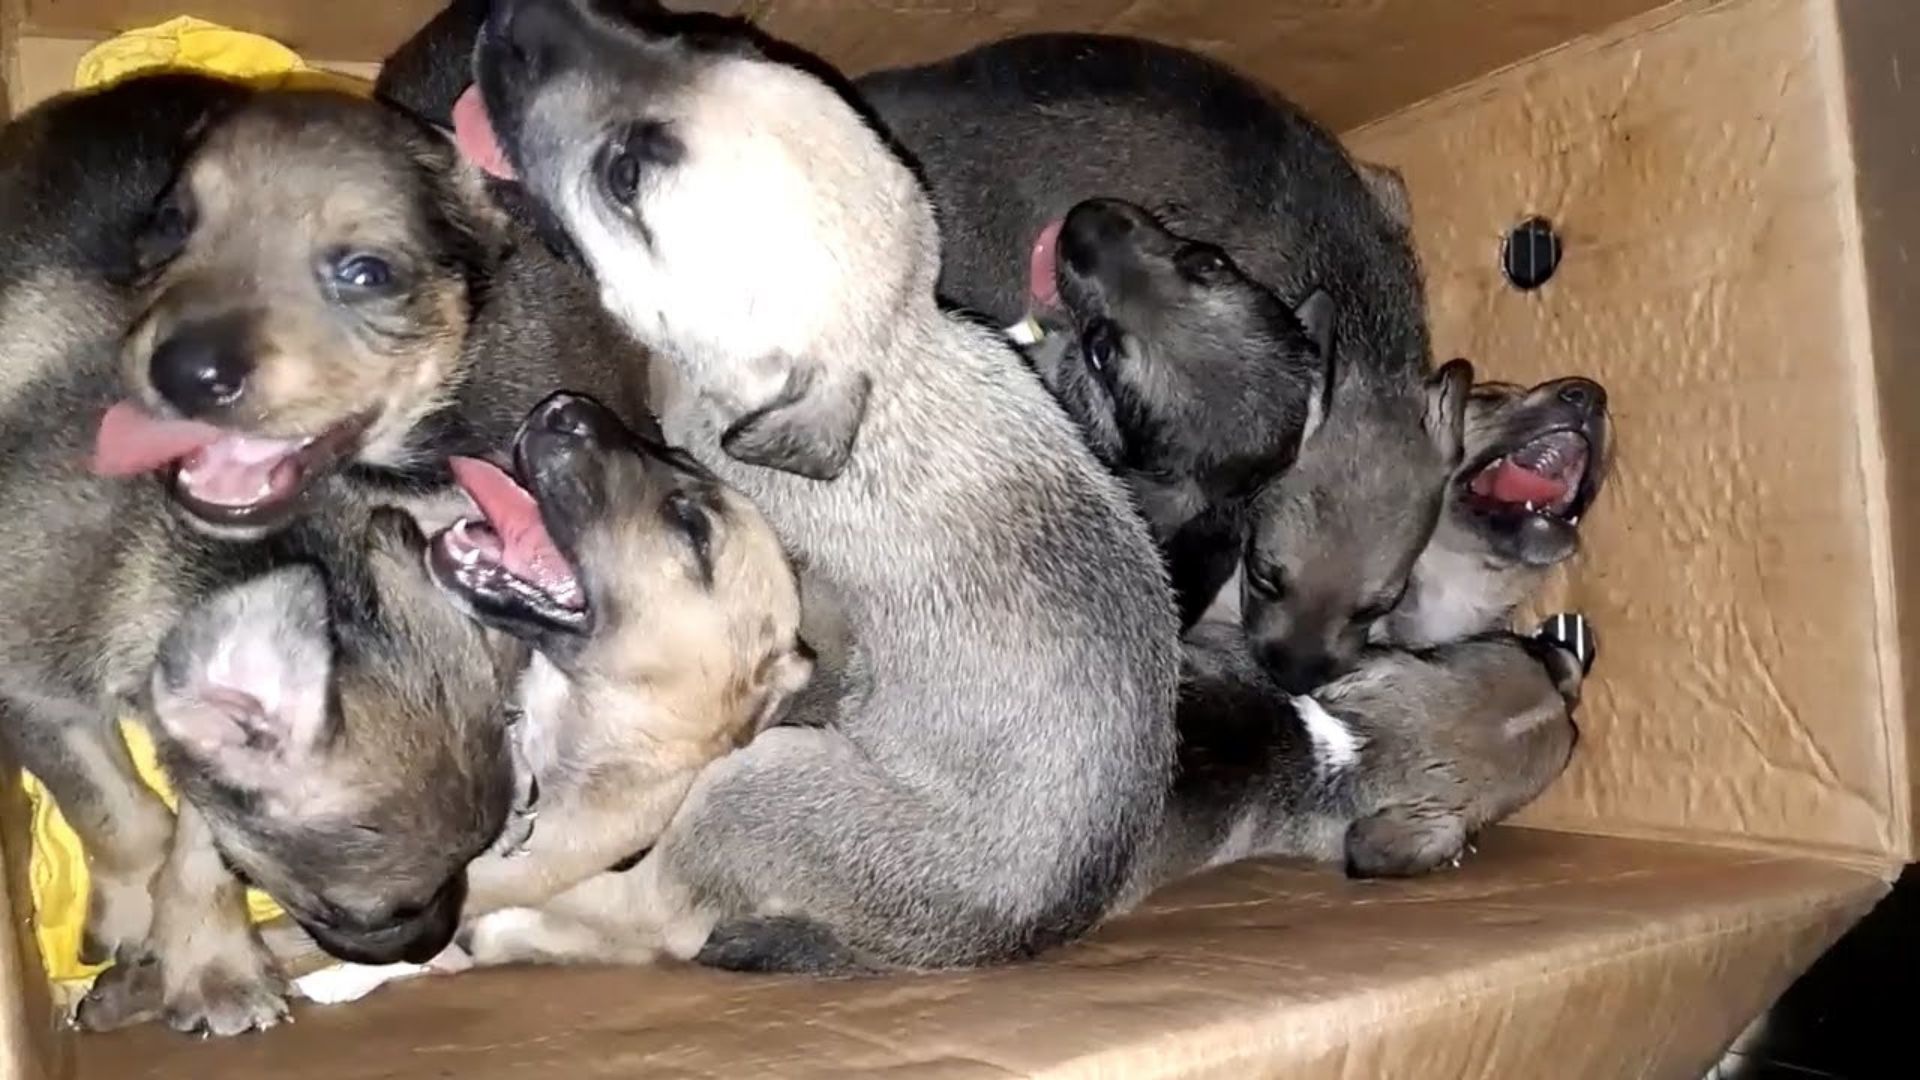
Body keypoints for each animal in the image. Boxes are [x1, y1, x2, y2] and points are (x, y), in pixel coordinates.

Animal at [0, 75, 526, 1037]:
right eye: (369, 913)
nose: (435, 944)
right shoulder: (32, 694)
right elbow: (117, 813)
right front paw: (136, 918)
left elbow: (194, 841)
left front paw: (208, 961)